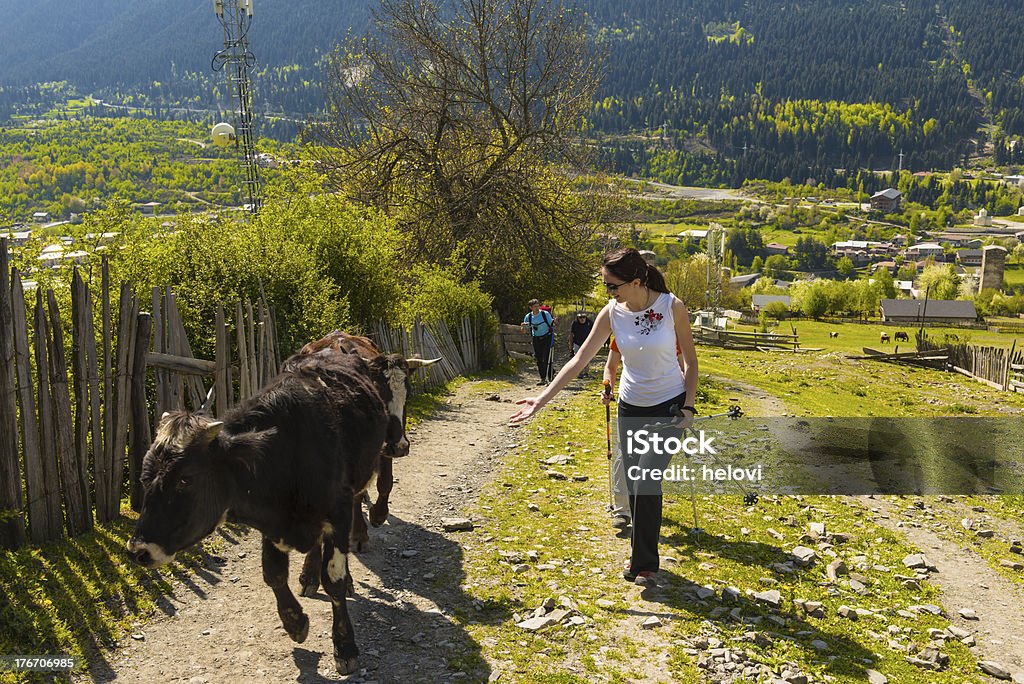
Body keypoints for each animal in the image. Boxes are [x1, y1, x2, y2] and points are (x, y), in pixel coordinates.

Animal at [124, 352, 387, 671]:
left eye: (185, 479)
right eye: (144, 476)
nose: (139, 550)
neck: (287, 455)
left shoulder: (337, 513)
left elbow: (333, 580)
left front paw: (345, 647)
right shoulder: (271, 522)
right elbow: (273, 575)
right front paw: (295, 622)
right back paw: (309, 577)